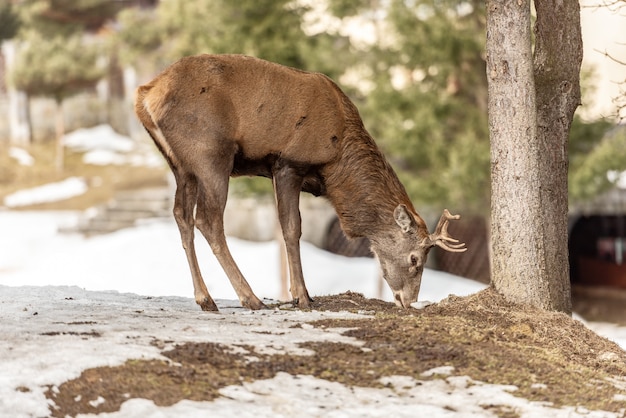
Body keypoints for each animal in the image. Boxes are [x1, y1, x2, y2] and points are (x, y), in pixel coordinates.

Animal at [134, 54, 464, 310]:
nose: (409, 301)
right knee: (208, 219)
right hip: (210, 154)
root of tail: (145, 95)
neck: (336, 165)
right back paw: (250, 298)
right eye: (415, 259)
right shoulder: (289, 162)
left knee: (182, 216)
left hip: (180, 165)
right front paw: (302, 296)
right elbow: (292, 228)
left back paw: (206, 299)